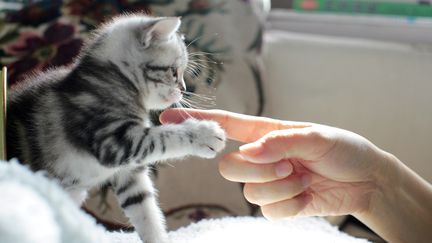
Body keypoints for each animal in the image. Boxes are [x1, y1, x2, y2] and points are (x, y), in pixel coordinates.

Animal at [6, 15, 226, 243]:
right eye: (174, 72)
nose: (183, 89)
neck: (116, 80)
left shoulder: (130, 174)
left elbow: (147, 212)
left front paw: (158, 238)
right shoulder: (115, 141)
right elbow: (164, 137)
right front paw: (205, 134)